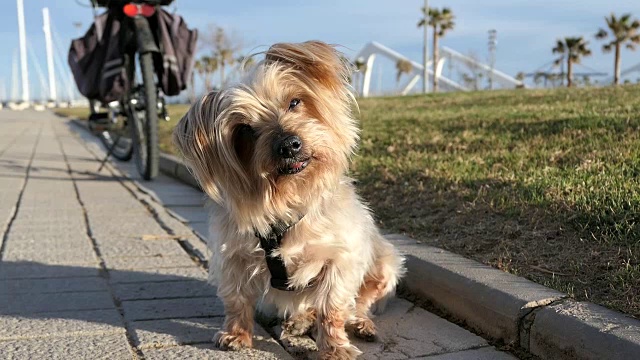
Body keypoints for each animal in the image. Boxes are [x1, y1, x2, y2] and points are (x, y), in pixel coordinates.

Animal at [174, 40, 404, 358]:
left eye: (294, 102)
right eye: (244, 130)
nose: (289, 144)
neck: (290, 197)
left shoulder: (341, 258)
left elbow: (332, 307)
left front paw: (334, 347)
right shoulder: (232, 256)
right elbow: (236, 299)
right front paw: (236, 333)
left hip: (386, 264)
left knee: (359, 303)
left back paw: (360, 323)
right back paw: (299, 321)